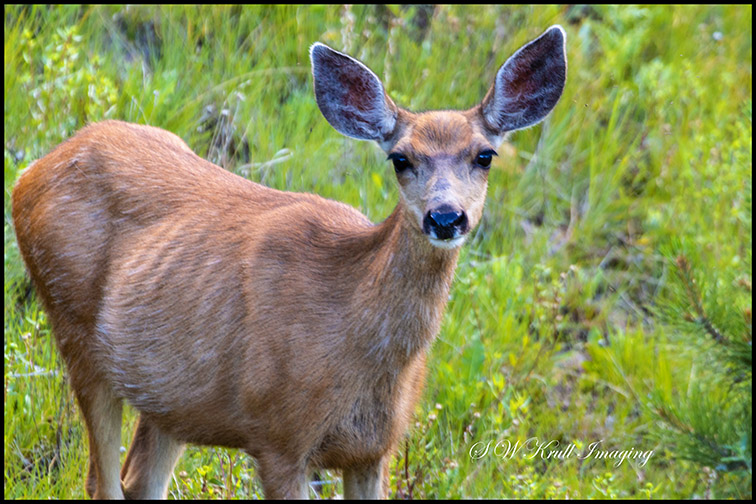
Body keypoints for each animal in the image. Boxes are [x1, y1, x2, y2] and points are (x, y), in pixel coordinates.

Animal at [11, 25, 566, 499]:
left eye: (485, 155)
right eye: (401, 159)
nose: (446, 216)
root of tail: (30, 172)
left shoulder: (374, 450)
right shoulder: (278, 436)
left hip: (168, 397)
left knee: (139, 479)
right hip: (76, 335)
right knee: (101, 480)